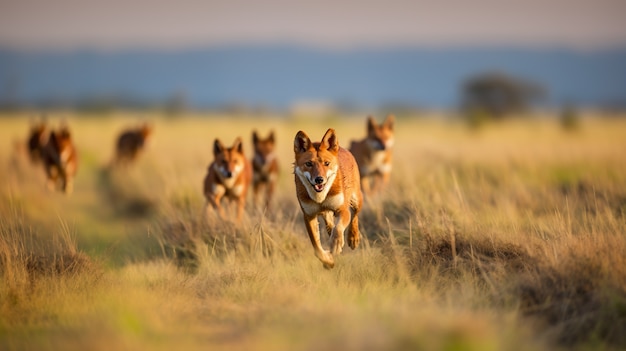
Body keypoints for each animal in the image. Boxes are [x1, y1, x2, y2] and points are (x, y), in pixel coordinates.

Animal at [292, 129, 360, 270]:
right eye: (309, 164)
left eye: (326, 163)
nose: (319, 179)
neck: (320, 198)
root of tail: (343, 149)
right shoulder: (309, 216)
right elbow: (317, 248)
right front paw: (328, 261)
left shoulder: (343, 209)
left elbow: (339, 228)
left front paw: (336, 244)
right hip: (325, 212)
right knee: (329, 223)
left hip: (356, 200)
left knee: (355, 216)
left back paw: (353, 238)